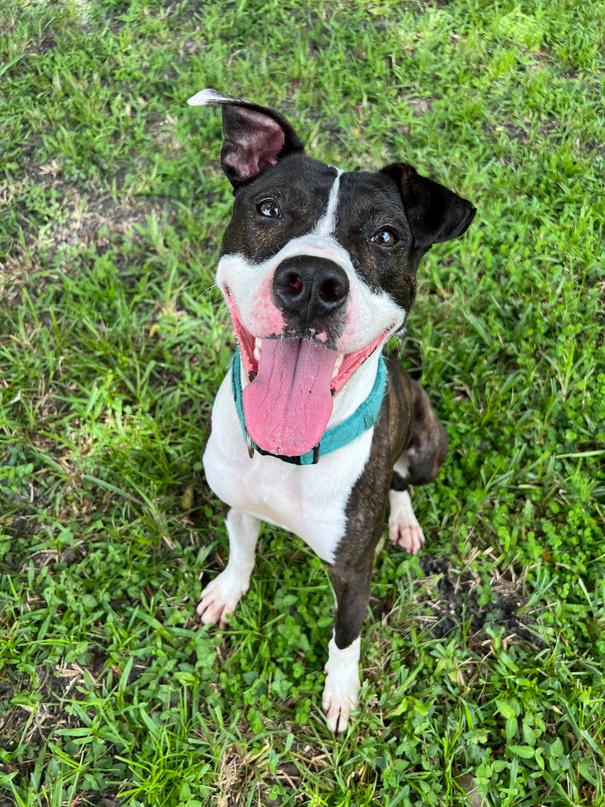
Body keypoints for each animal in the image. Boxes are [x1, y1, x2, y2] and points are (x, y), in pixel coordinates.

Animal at [188, 88, 475, 732]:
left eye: (387, 237)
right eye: (268, 209)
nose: (314, 281)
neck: (286, 456)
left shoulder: (352, 571)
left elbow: (346, 635)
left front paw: (341, 692)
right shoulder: (238, 505)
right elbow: (241, 552)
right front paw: (228, 590)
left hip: (428, 446)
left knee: (401, 480)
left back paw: (404, 520)